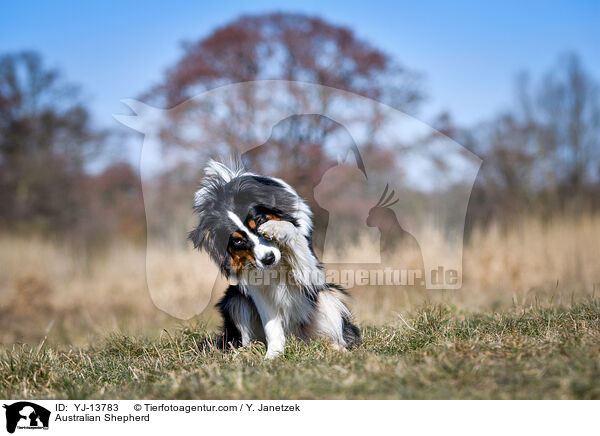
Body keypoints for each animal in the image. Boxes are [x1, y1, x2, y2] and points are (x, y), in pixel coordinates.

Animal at [190, 160, 358, 358]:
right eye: (237, 241)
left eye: (260, 220)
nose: (268, 258)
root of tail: (298, 338)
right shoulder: (256, 288)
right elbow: (271, 325)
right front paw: (273, 355)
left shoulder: (310, 272)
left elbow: (292, 232)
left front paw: (276, 228)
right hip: (234, 299)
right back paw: (245, 352)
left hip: (328, 295)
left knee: (333, 334)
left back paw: (337, 348)